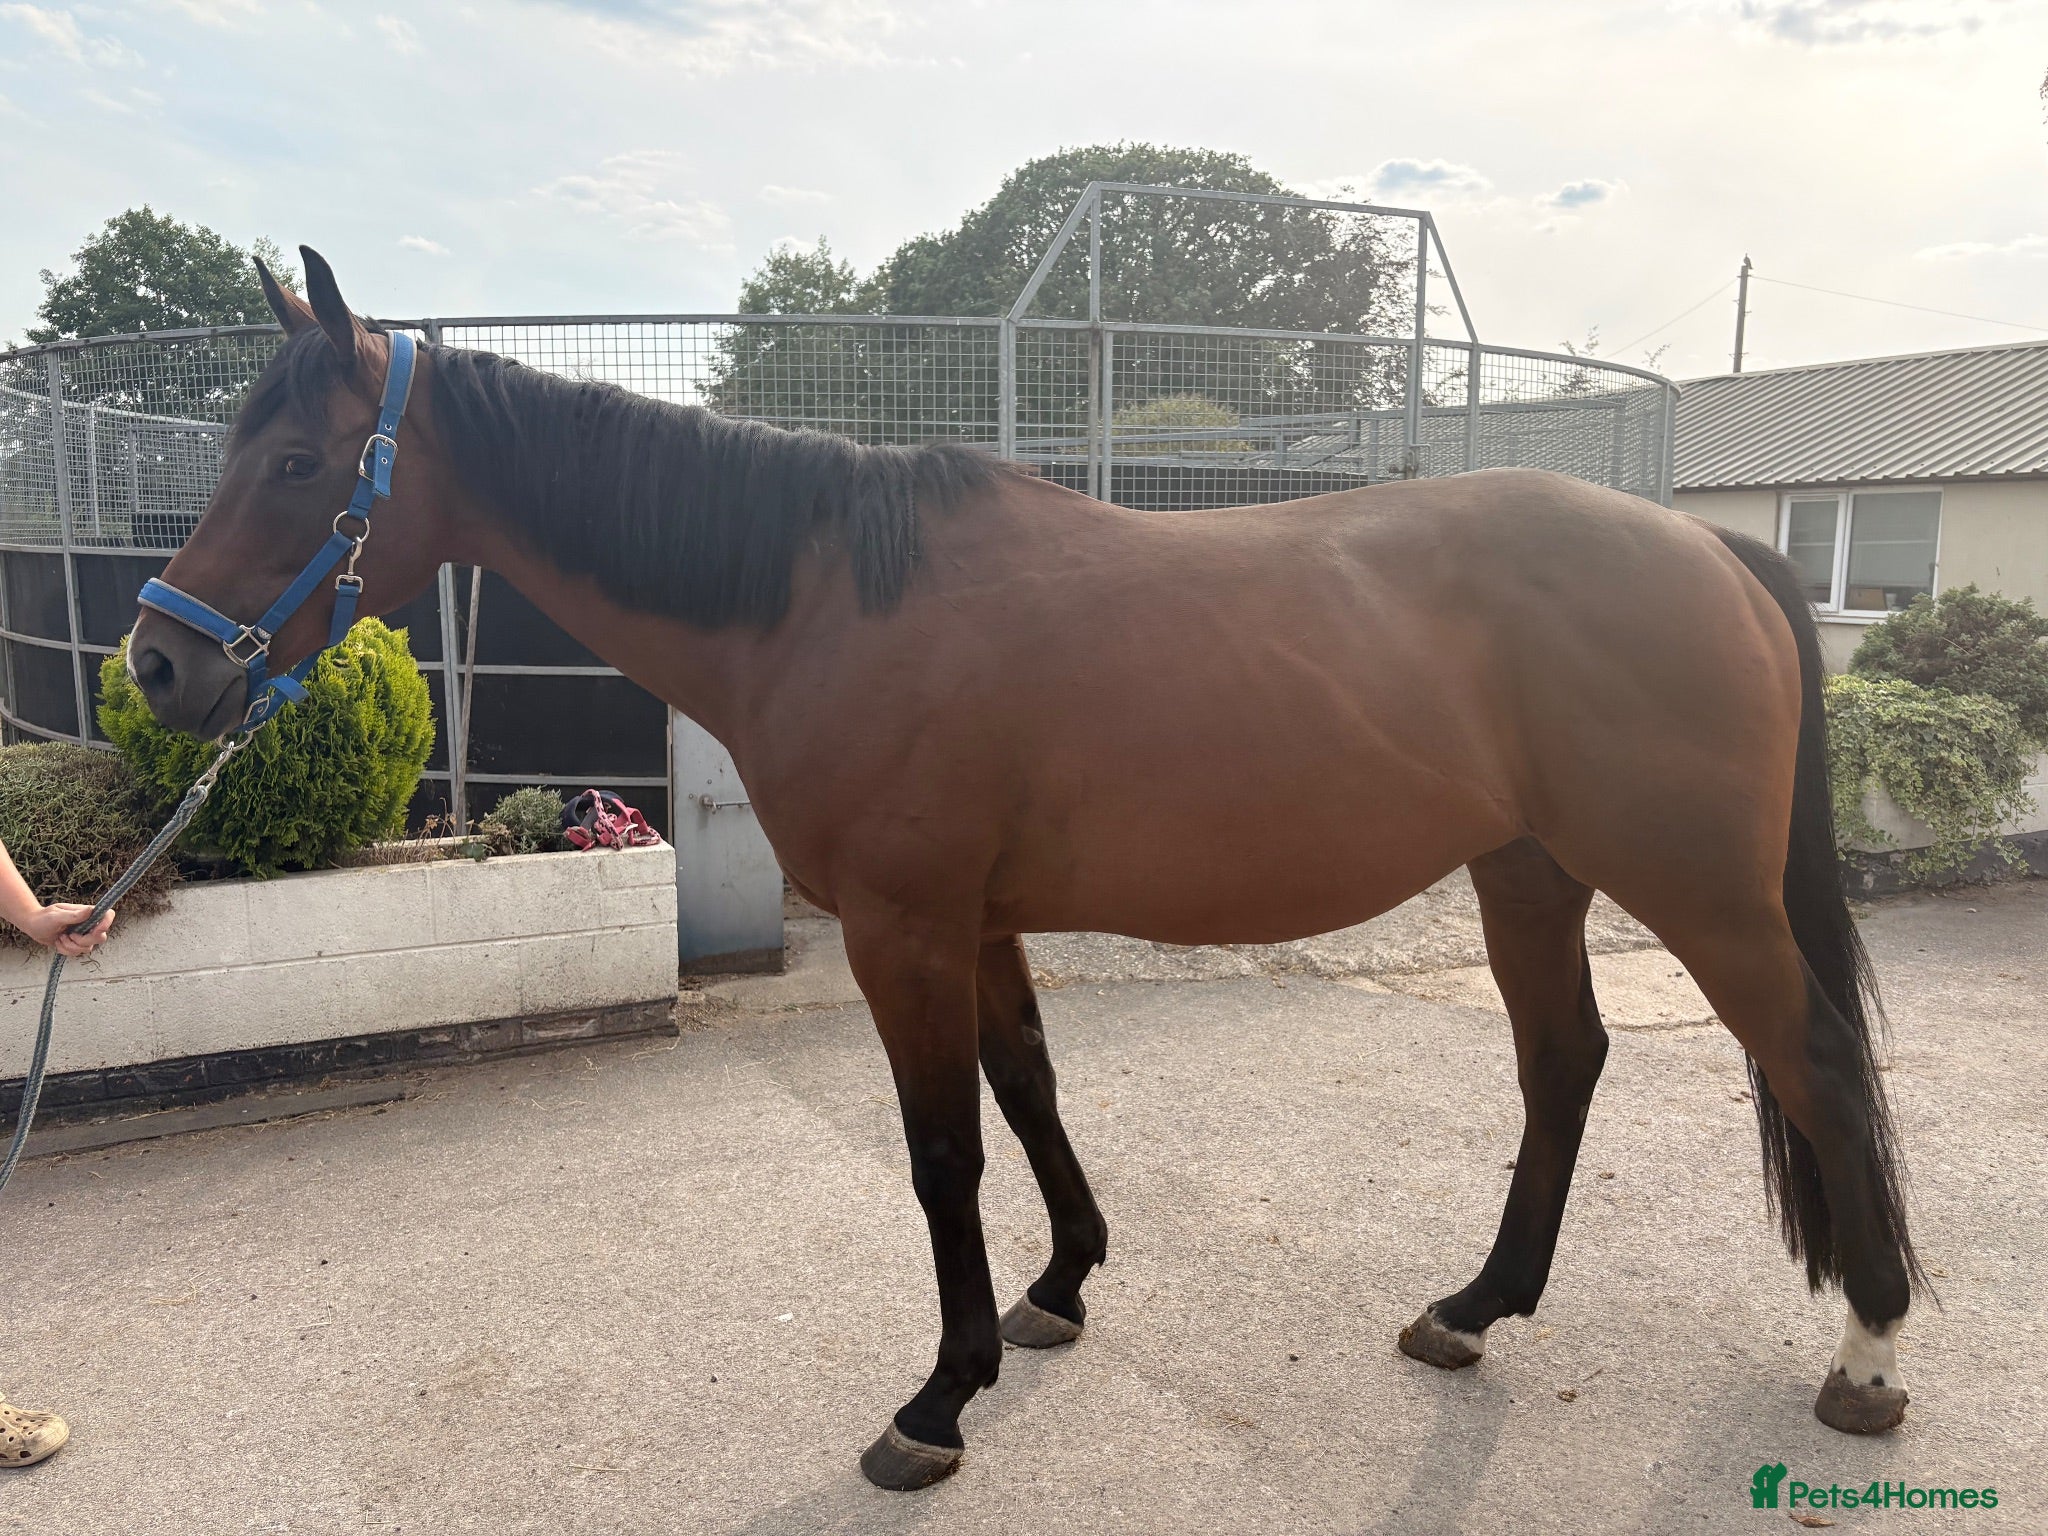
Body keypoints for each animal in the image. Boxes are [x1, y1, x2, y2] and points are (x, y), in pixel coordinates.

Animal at [126, 248, 1923, 1490]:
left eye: (296, 464)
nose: (157, 663)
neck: (821, 597)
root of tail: (1706, 546)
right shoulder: (974, 924)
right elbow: (1031, 1088)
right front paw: (1057, 1289)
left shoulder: (903, 928)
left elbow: (942, 1153)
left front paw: (937, 1399)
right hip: (1528, 873)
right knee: (1565, 1062)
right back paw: (1474, 1310)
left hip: (1692, 890)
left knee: (1816, 1059)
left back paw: (1869, 1350)